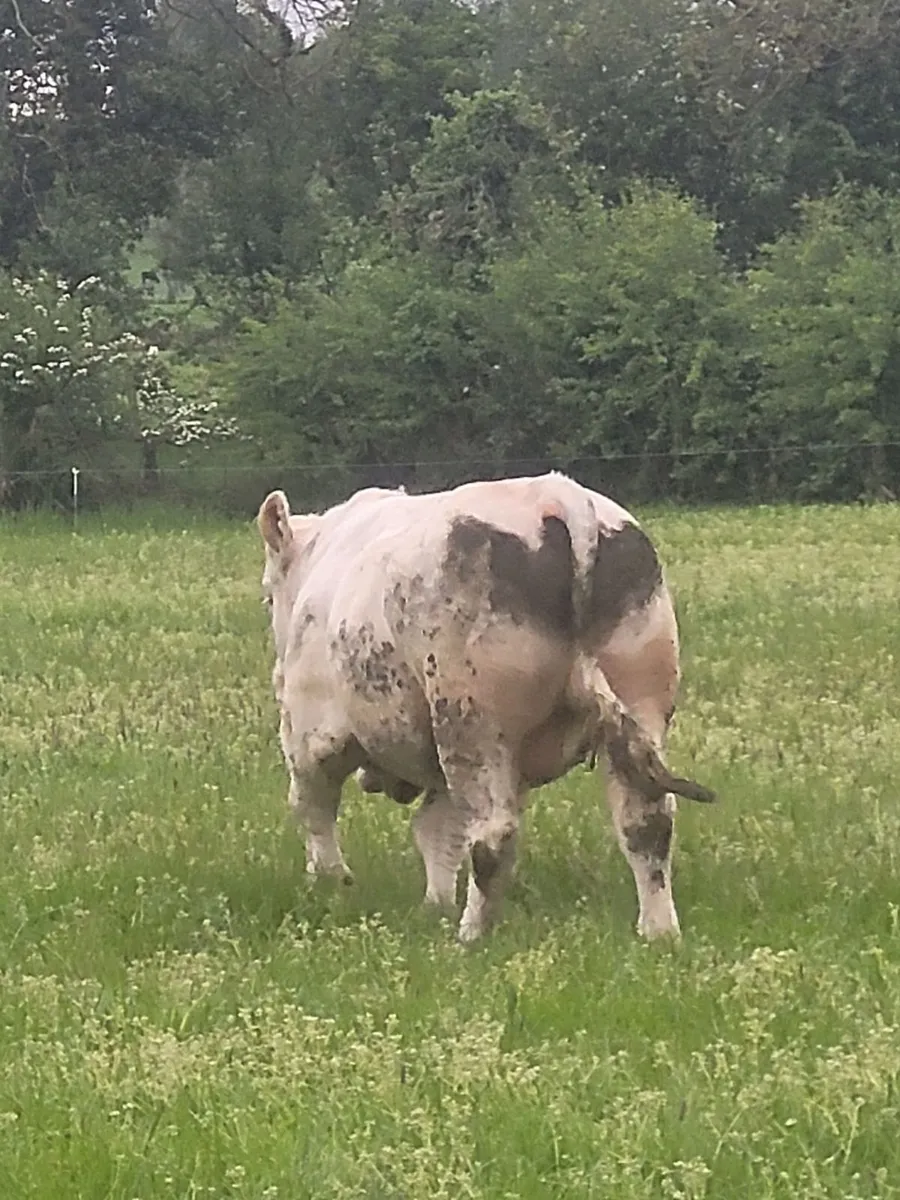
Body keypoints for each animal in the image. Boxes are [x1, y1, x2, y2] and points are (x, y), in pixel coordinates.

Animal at [258, 472, 715, 944]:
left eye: (266, 596)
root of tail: (557, 498)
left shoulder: (311, 733)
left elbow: (313, 807)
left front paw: (331, 883)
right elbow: (438, 830)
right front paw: (435, 904)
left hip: (471, 723)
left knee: (494, 834)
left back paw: (472, 934)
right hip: (640, 703)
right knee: (647, 821)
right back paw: (659, 932)